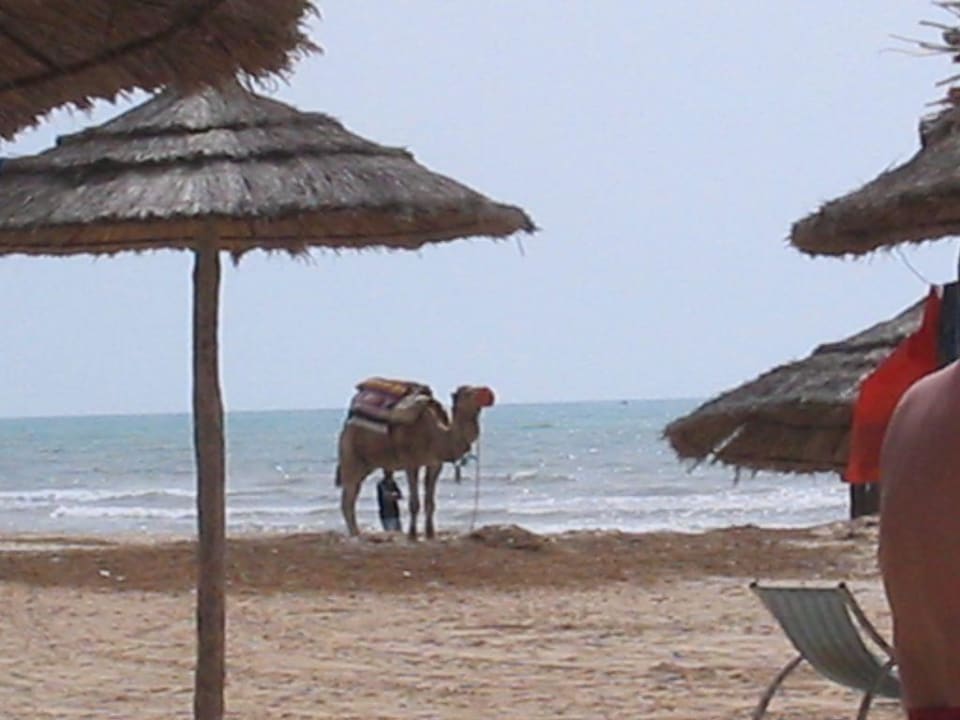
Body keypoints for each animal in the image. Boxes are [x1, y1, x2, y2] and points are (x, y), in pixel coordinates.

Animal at [335, 385, 495, 539]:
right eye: (468, 393)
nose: (487, 392)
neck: (435, 434)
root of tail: (347, 424)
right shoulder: (411, 463)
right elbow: (414, 502)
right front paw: (412, 535)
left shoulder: (435, 464)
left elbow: (430, 502)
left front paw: (430, 534)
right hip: (350, 454)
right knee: (348, 497)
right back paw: (356, 534)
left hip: (366, 465)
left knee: (352, 495)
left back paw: (357, 532)